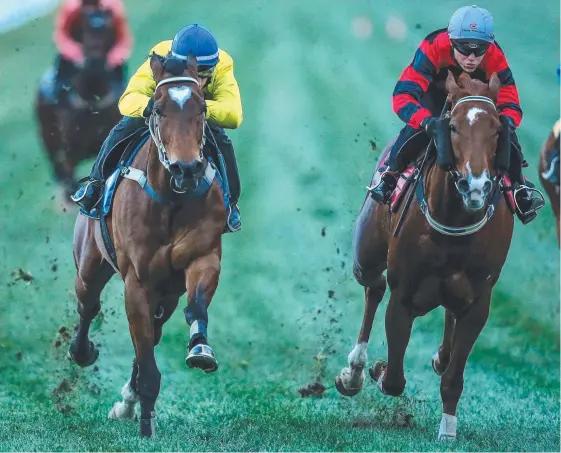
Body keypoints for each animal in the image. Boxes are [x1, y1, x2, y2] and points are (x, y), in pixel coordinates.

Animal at [36, 4, 122, 200]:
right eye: (83, 30)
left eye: (109, 31)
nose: (95, 63)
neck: (92, 103)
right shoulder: (69, 157)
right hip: (48, 141)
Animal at [66, 53, 223, 438]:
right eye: (159, 108)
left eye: (202, 107)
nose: (186, 168)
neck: (171, 198)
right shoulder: (137, 282)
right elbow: (146, 358)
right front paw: (146, 429)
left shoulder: (203, 257)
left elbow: (196, 304)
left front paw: (200, 349)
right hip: (90, 262)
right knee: (88, 304)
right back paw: (83, 353)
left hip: (167, 293)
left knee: (154, 331)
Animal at [334, 72, 516, 440]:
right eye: (454, 127)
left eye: (496, 130)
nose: (476, 186)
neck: (454, 219)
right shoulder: (403, 295)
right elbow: (393, 379)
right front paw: (376, 370)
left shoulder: (479, 300)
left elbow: (454, 376)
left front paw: (448, 430)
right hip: (366, 254)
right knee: (374, 287)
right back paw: (355, 370)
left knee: (447, 318)